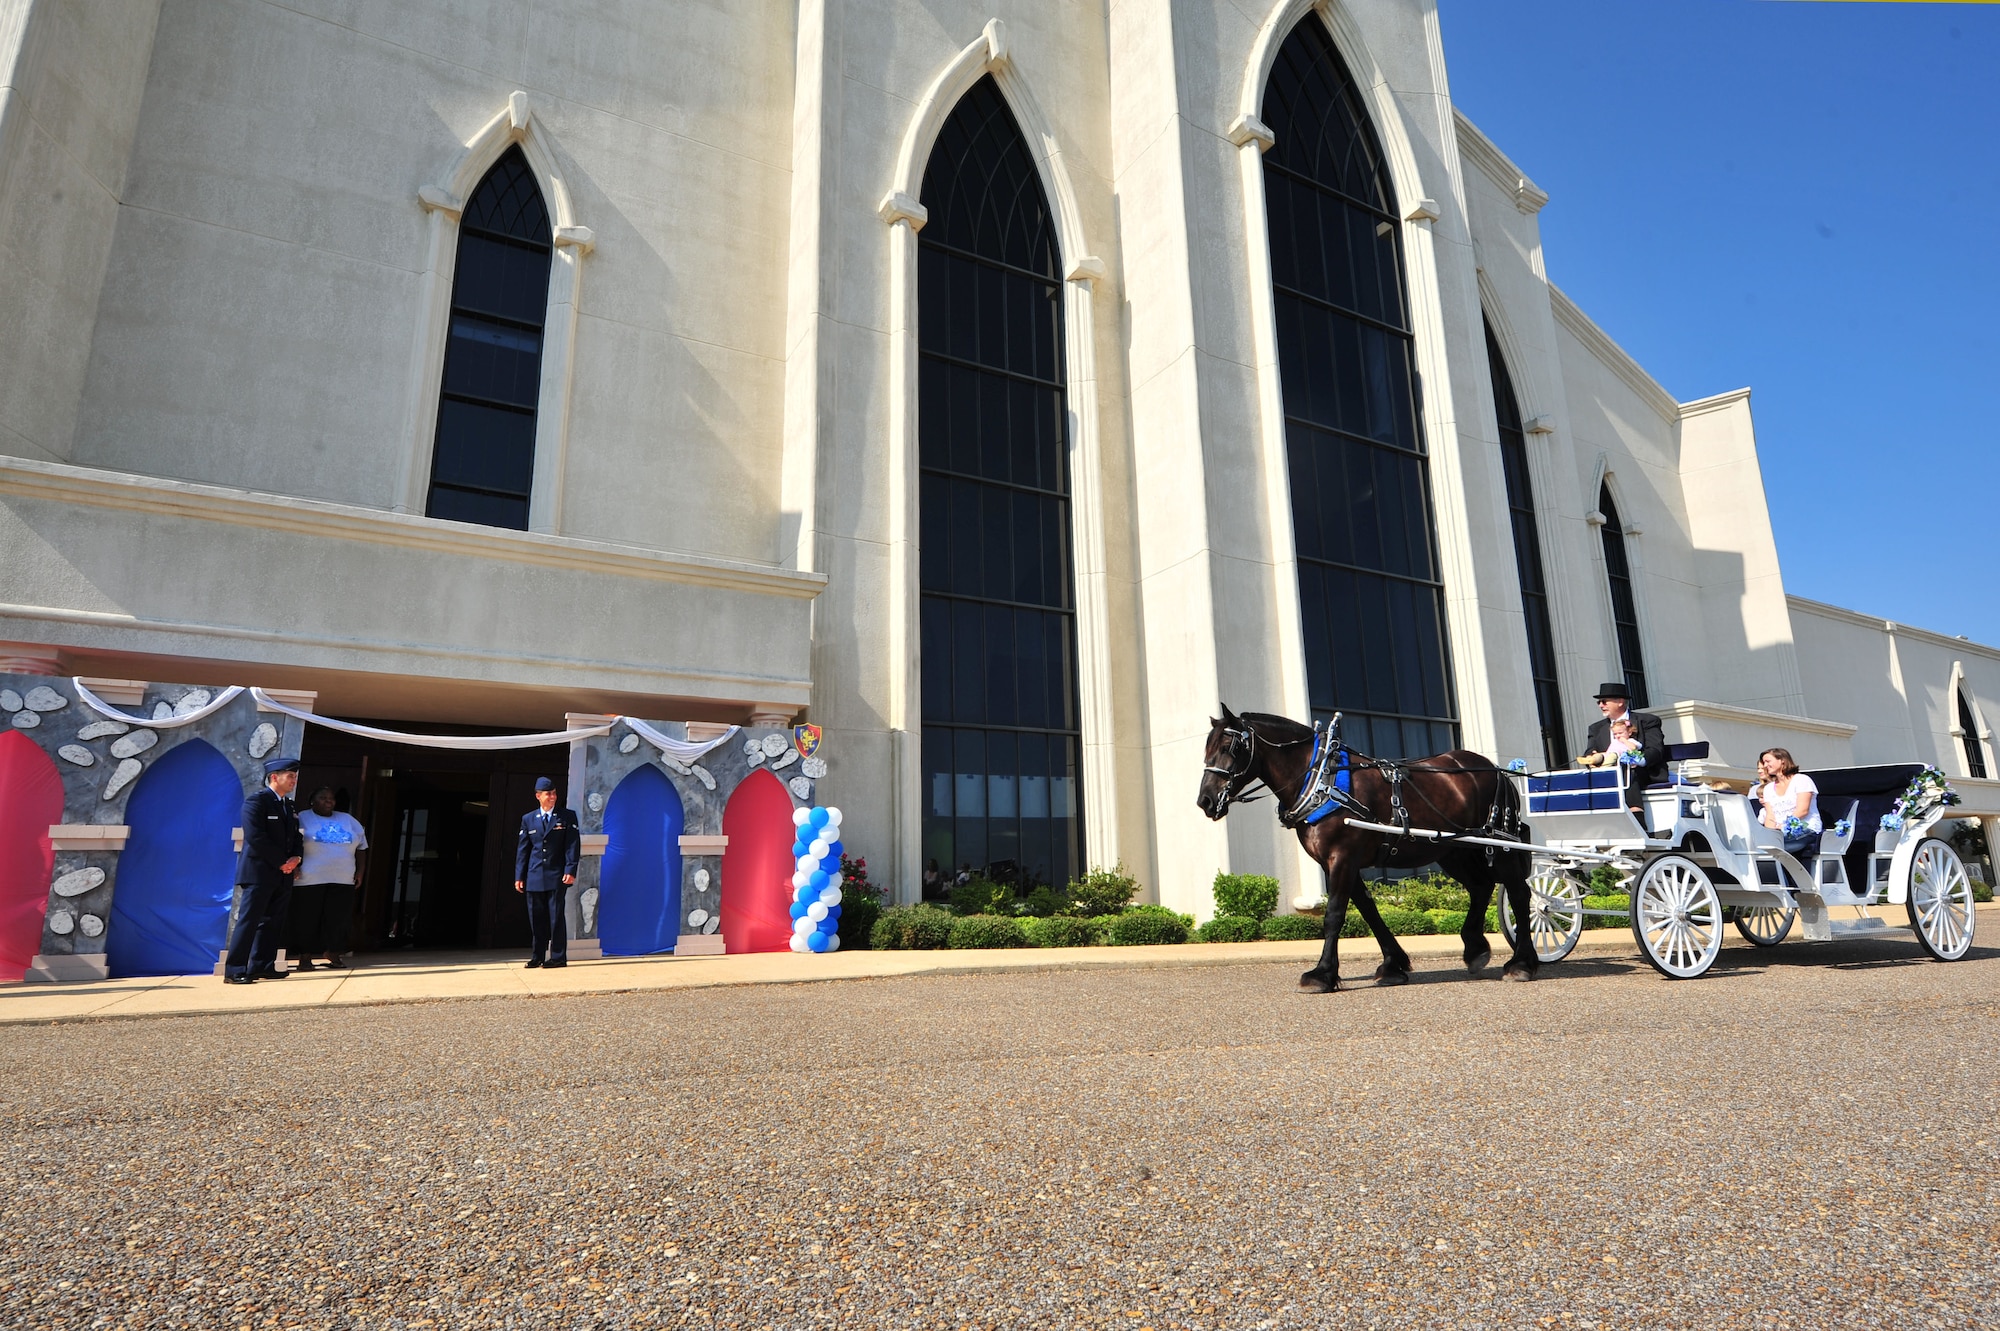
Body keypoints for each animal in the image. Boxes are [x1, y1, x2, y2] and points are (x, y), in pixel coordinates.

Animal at [1192, 703, 1536, 983]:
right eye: (1207, 748)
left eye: (1230, 746)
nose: (1205, 801)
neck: (1323, 779)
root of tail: (1496, 771)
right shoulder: (1336, 861)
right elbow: (1368, 910)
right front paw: (1393, 964)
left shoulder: (1342, 857)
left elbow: (1334, 914)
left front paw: (1322, 974)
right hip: (1453, 849)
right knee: (1481, 887)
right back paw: (1475, 949)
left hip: (1500, 845)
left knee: (1519, 894)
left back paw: (1523, 962)